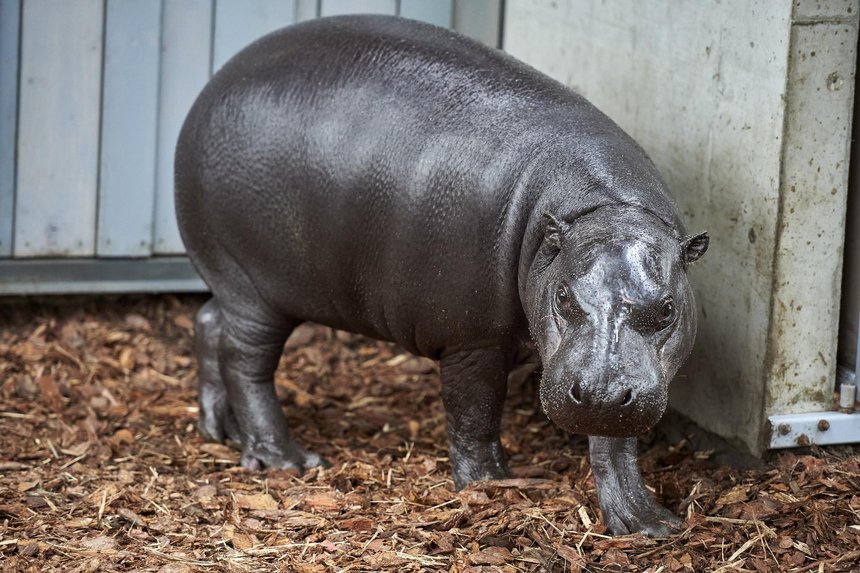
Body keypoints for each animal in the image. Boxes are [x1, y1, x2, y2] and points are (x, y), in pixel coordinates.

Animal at [175, 14, 704, 536]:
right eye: (564, 298)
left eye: (667, 309)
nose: (598, 393)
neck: (601, 207)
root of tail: (211, 88)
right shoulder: (474, 339)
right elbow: (475, 412)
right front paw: (492, 484)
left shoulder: (613, 379)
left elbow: (614, 440)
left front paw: (648, 523)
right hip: (257, 291)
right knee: (244, 361)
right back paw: (286, 460)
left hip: (235, 280)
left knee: (209, 322)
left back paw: (219, 430)